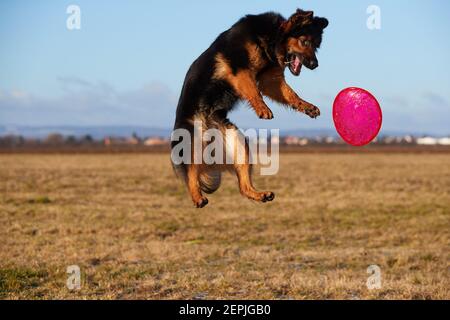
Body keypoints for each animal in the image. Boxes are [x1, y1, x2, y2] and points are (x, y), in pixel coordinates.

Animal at [171, 8, 328, 208]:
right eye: (305, 42)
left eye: (316, 46)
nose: (315, 65)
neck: (272, 37)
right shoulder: (240, 69)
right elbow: (253, 90)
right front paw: (263, 109)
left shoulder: (270, 79)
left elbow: (291, 94)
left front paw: (307, 106)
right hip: (192, 141)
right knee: (191, 174)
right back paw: (197, 197)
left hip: (239, 144)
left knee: (243, 187)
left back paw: (260, 195)